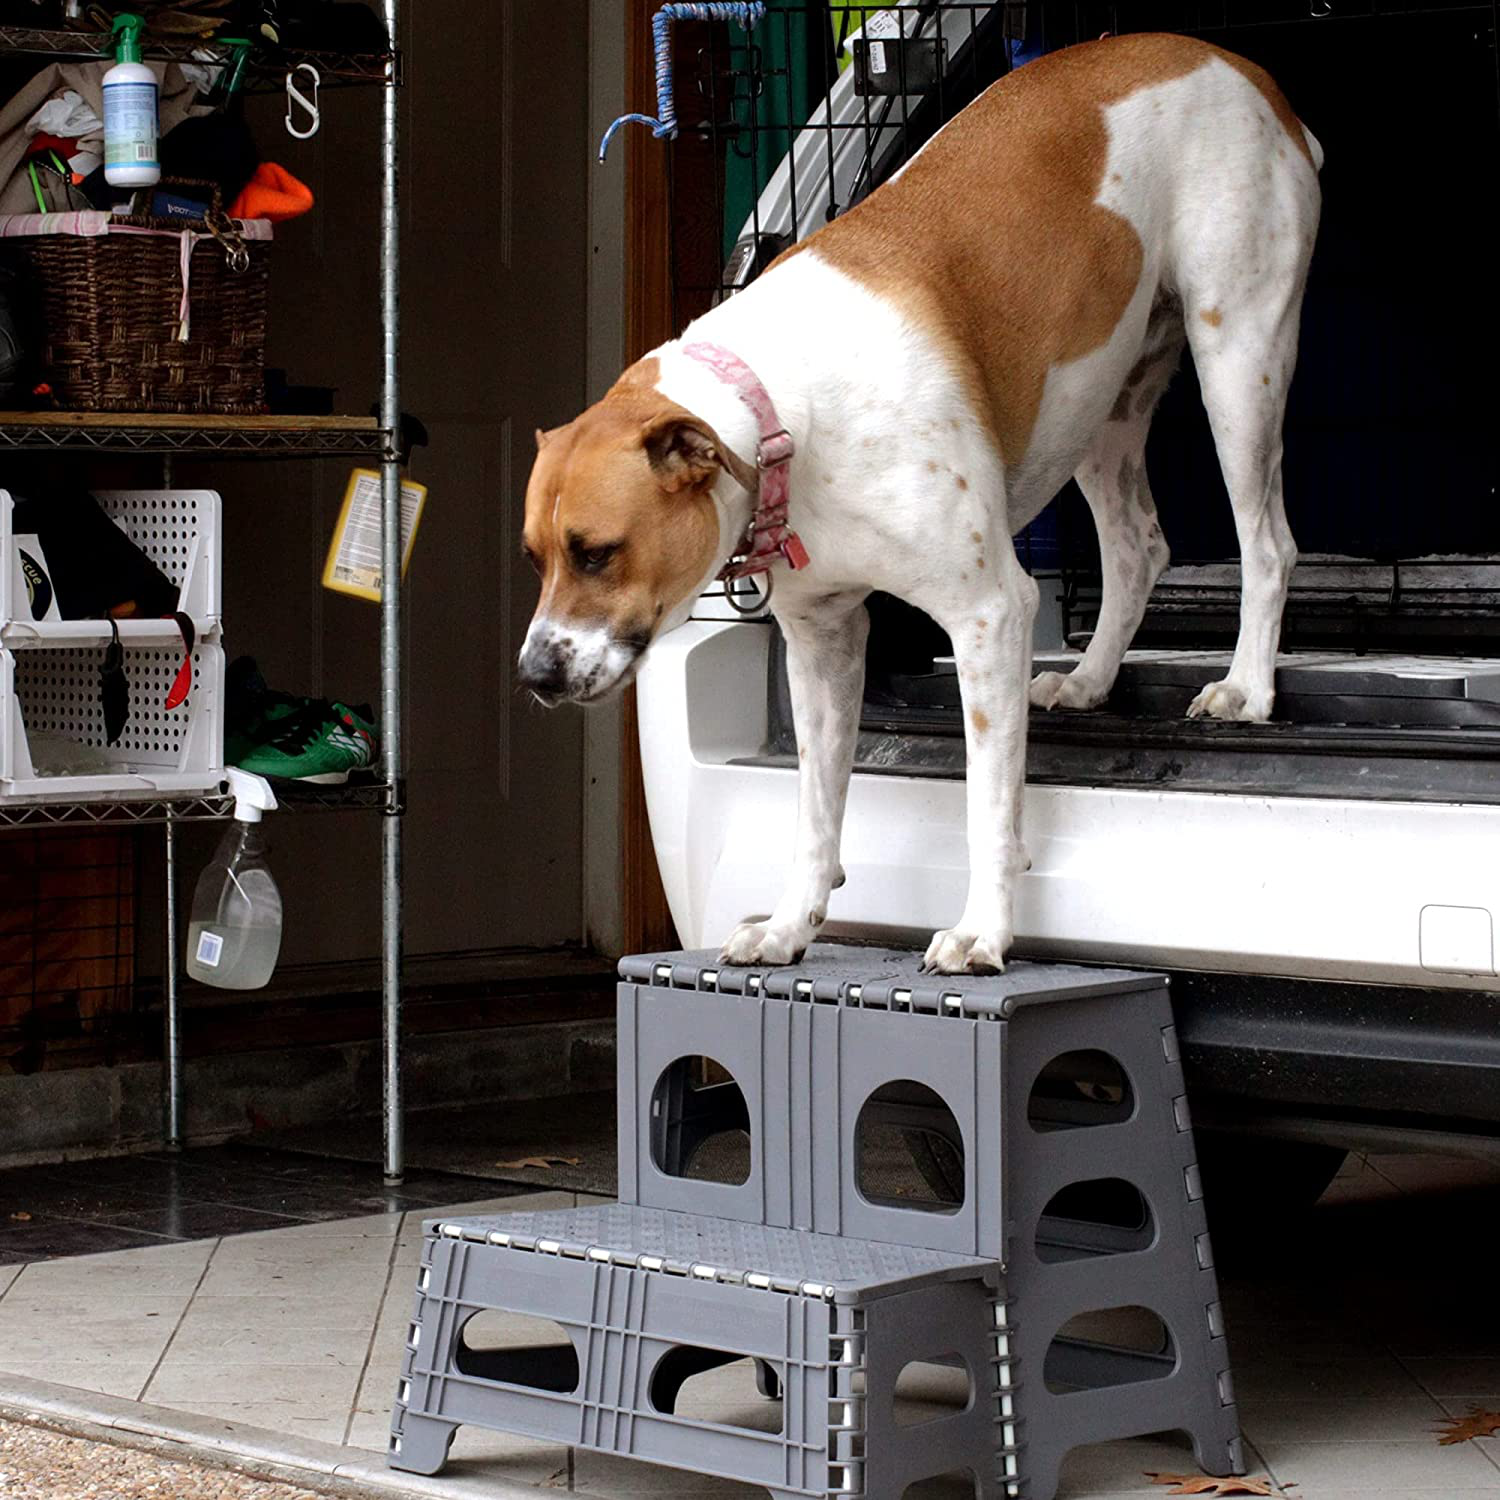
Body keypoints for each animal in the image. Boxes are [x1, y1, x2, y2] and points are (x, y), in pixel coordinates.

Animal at [522, 35, 1320, 978]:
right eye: (535, 558)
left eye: (597, 551)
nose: (534, 675)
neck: (782, 413)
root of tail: (1242, 67)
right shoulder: (823, 642)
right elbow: (815, 808)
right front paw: (790, 926)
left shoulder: (988, 613)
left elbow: (988, 803)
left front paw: (982, 931)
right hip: (1103, 400)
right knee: (1138, 547)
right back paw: (1090, 679)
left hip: (1239, 356)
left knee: (1267, 544)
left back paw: (1247, 687)